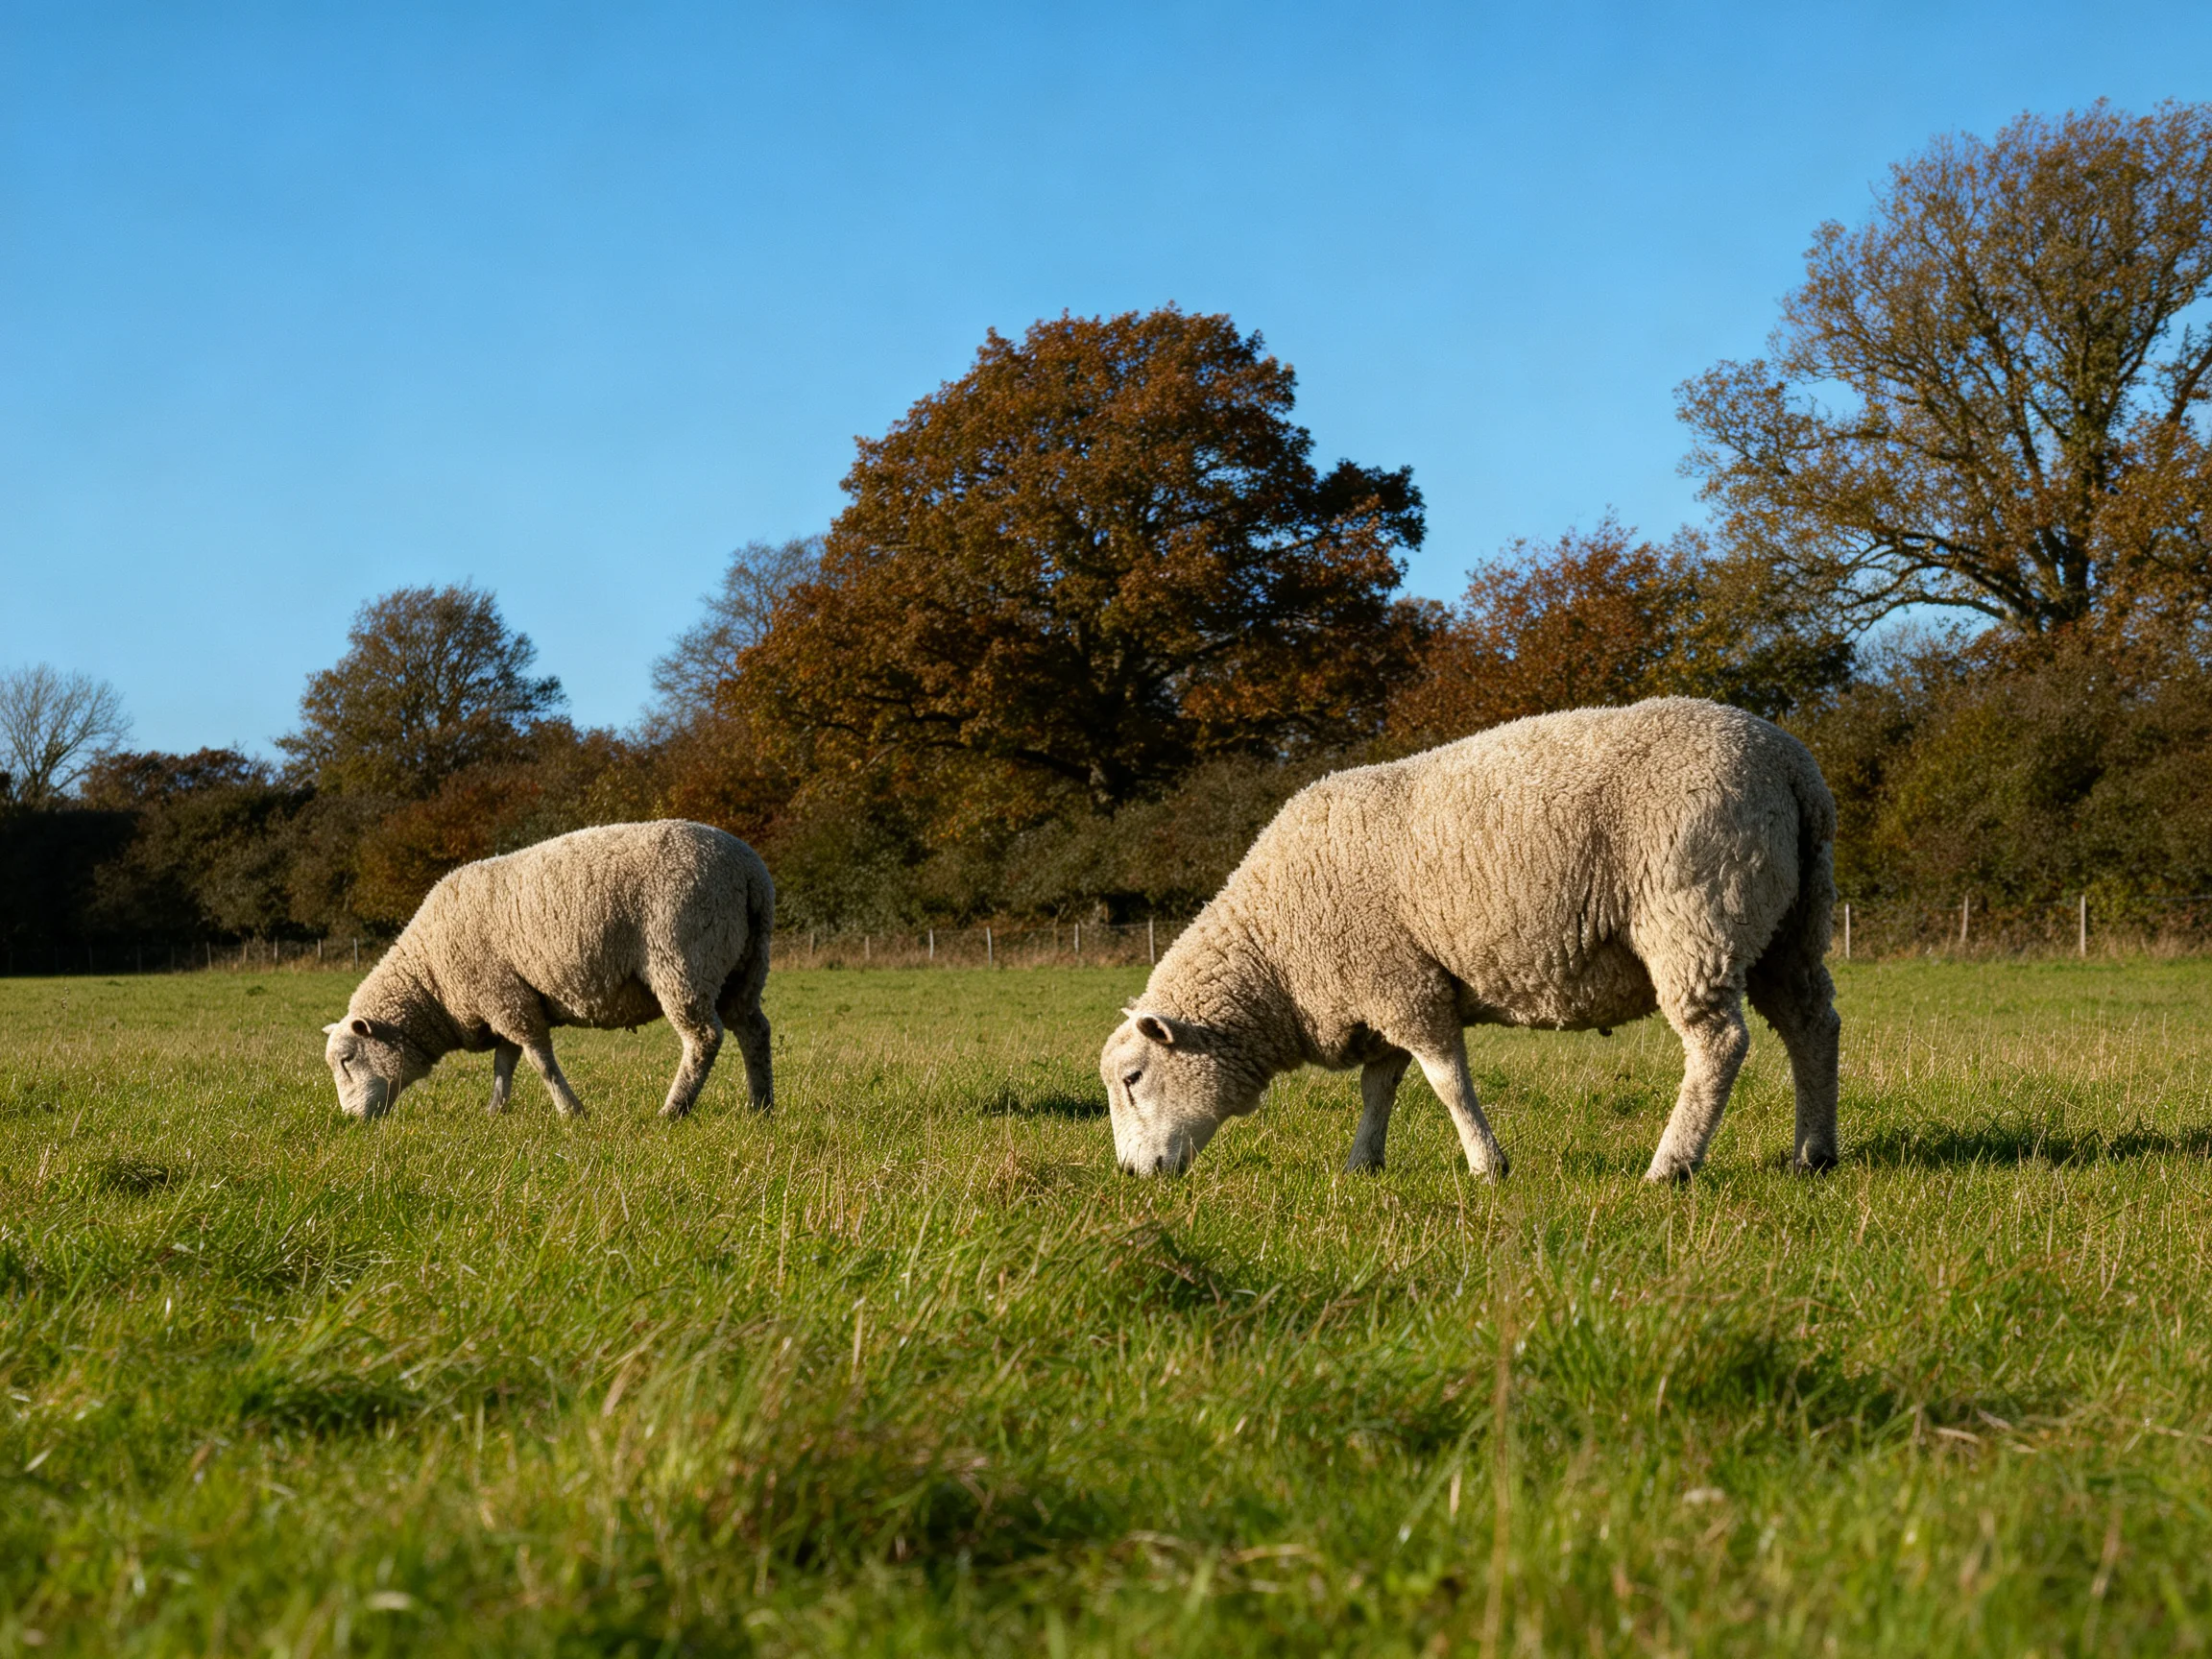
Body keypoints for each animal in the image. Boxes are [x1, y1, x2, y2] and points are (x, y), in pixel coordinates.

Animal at [321, 820, 774, 1122]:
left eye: (346, 1059)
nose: (350, 1120)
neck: (431, 978)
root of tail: (749, 870)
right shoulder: (506, 998)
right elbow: (504, 1063)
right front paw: (495, 1110)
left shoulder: (504, 997)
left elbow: (539, 1061)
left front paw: (570, 1112)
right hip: (745, 966)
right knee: (754, 1031)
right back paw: (761, 1106)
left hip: (683, 959)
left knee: (704, 1038)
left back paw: (674, 1110)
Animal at [1099, 698, 1839, 1183]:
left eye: (1134, 1079)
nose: (1133, 1176)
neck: (1276, 958)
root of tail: (1791, 765)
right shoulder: (1382, 988)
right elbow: (1379, 1086)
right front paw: (1363, 1162)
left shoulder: (1402, 983)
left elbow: (1446, 1081)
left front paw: (1488, 1165)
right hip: (1789, 925)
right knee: (1812, 1025)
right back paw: (1814, 1154)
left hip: (1692, 913)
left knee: (1720, 1045)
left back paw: (1671, 1165)